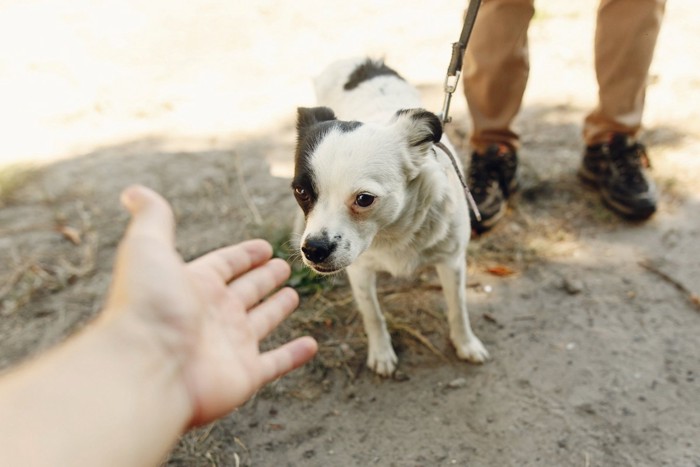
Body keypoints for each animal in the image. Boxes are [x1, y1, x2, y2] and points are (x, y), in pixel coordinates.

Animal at [290, 57, 486, 376]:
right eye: (301, 191)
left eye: (364, 199)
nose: (314, 250)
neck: (392, 231)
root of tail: (361, 60)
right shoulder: (359, 271)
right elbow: (372, 314)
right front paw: (381, 352)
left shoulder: (453, 262)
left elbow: (458, 308)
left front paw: (465, 343)